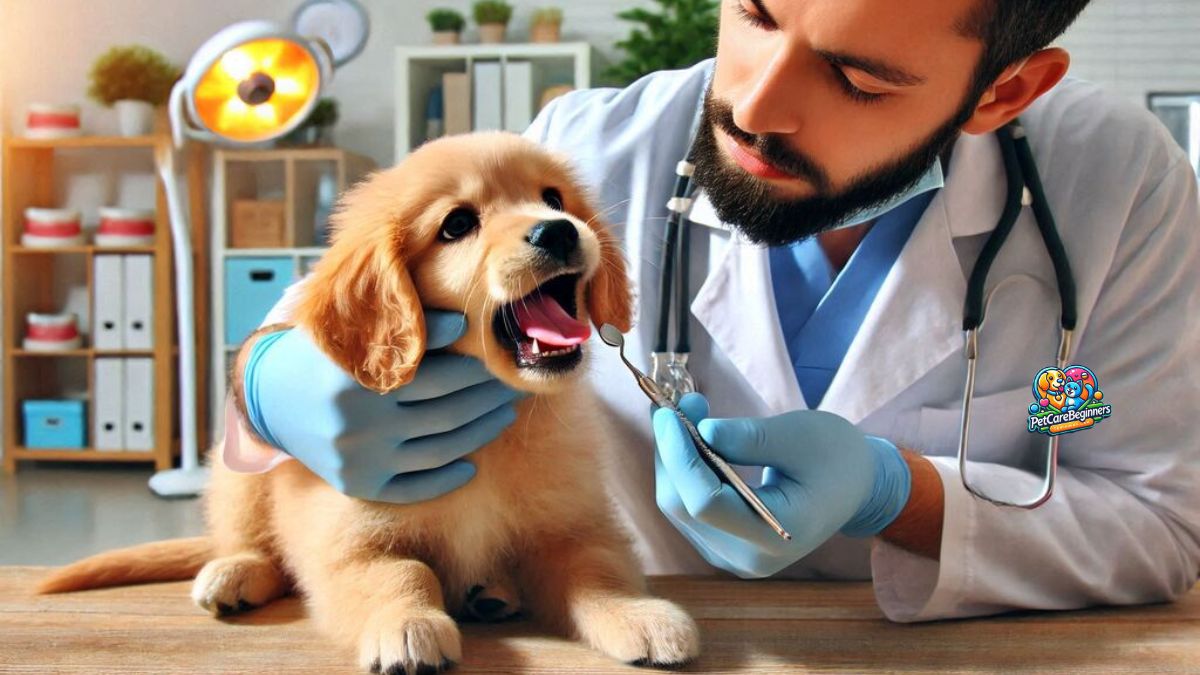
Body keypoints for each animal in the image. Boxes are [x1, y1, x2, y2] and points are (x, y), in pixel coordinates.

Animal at [37, 132, 700, 672]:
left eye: (554, 198)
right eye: (457, 224)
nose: (558, 230)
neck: (494, 436)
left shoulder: (572, 524)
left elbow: (597, 573)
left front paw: (639, 614)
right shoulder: (349, 541)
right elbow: (402, 574)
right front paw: (406, 627)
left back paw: (493, 591)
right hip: (243, 467)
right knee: (250, 539)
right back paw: (233, 572)